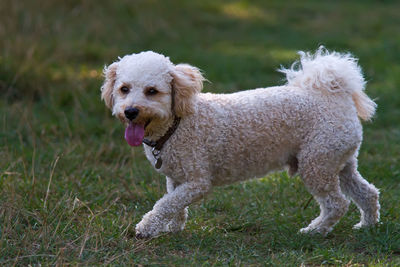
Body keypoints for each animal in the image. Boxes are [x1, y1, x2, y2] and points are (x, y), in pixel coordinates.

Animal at [101, 47, 380, 239]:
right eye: (124, 89)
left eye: (152, 91)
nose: (131, 112)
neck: (177, 124)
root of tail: (337, 94)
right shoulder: (176, 177)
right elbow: (173, 203)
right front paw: (173, 227)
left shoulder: (198, 181)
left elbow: (165, 204)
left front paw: (146, 228)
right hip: (337, 161)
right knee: (367, 192)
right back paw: (367, 225)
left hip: (316, 164)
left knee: (337, 203)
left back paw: (315, 230)